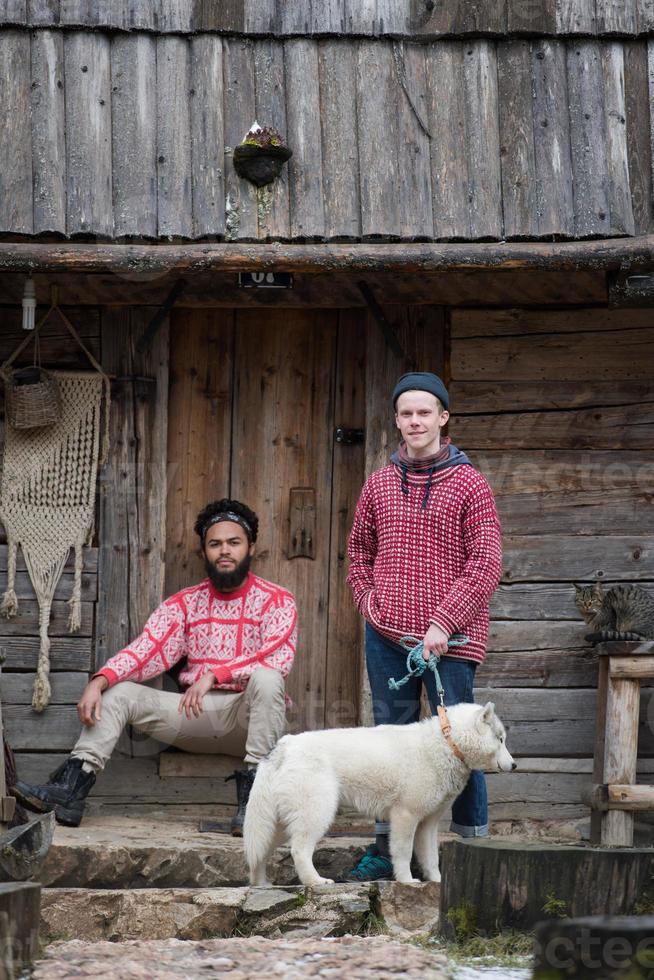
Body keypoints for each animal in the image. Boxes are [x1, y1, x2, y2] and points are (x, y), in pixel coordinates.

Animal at [246, 700, 516, 884]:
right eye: (501, 740)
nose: (514, 765)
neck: (447, 742)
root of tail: (283, 746)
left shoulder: (428, 824)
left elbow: (431, 857)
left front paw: (437, 881)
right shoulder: (405, 816)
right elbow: (404, 853)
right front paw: (407, 880)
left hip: (278, 824)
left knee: (260, 854)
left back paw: (261, 885)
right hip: (316, 814)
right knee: (299, 850)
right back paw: (316, 882)